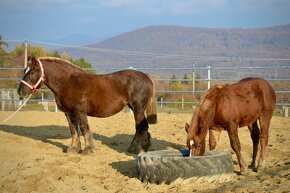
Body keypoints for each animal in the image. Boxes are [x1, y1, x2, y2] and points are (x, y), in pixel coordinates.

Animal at [17, 55, 157, 154]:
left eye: (32, 71)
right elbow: (73, 130)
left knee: (141, 127)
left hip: (138, 109)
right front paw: (74, 149)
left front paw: (88, 149)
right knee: (142, 127)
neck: (67, 82)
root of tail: (148, 77)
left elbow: (84, 128)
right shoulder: (69, 113)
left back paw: (136, 149)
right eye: (24, 70)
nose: (20, 92)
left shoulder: (80, 112)